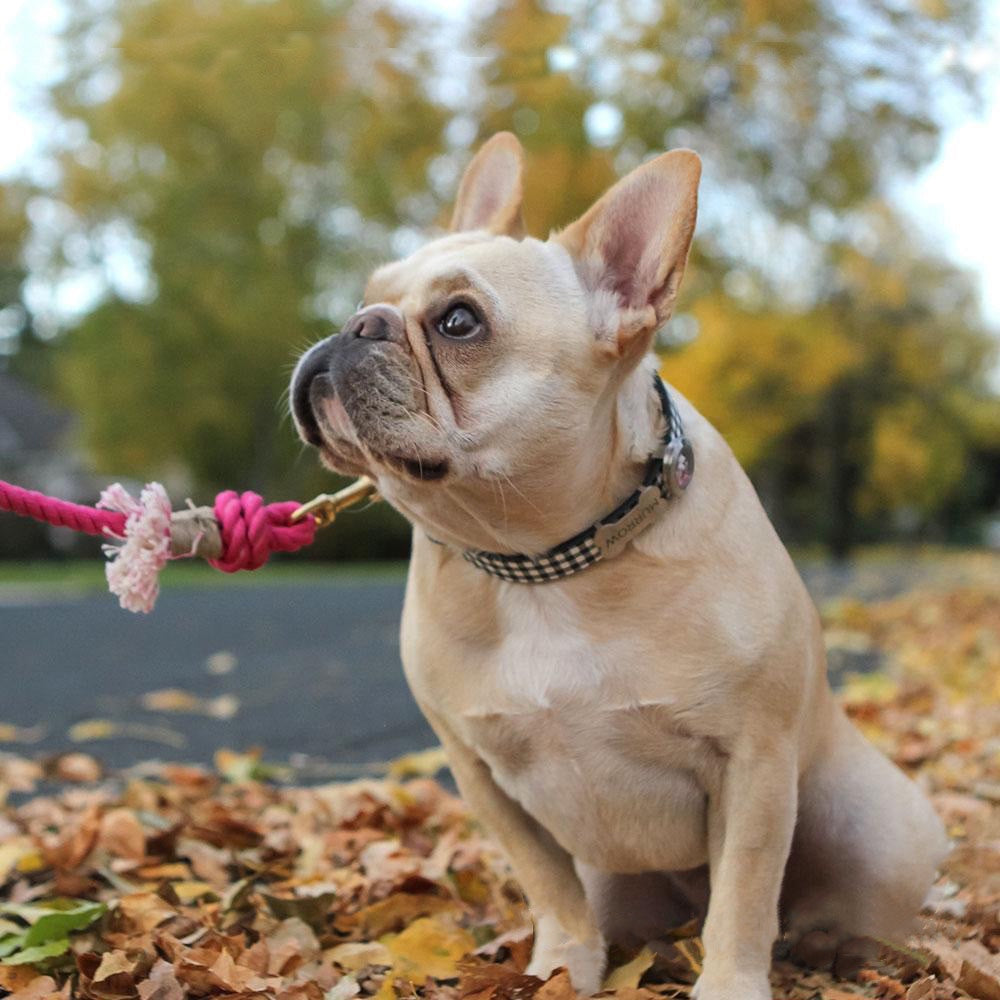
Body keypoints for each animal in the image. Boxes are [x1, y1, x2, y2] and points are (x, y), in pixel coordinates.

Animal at [290, 133, 944, 1000]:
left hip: (867, 821)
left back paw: (840, 947)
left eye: (459, 321)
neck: (545, 561)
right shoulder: (480, 773)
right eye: (368, 294)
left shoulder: (756, 763)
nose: (355, 325)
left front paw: (730, 986)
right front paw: (561, 966)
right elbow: (548, 884)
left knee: (844, 903)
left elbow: (745, 893)